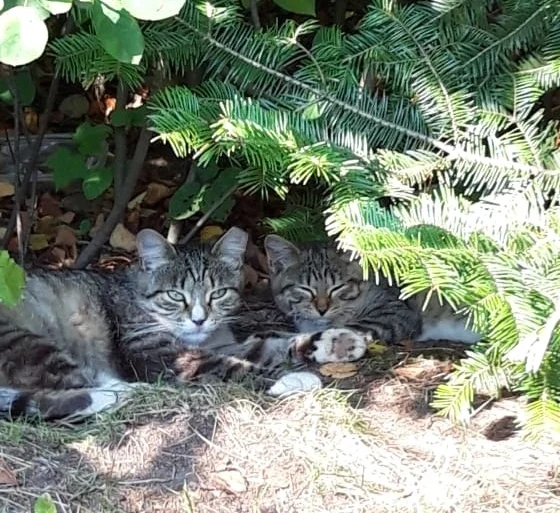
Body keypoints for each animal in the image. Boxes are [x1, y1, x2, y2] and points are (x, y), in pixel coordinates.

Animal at [0, 228, 370, 420]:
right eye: (176, 295)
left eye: (218, 293)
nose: (199, 319)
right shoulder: (166, 354)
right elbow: (233, 366)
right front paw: (291, 379)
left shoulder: (223, 341)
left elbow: (274, 342)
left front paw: (338, 341)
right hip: (29, 342)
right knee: (67, 391)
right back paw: (123, 392)